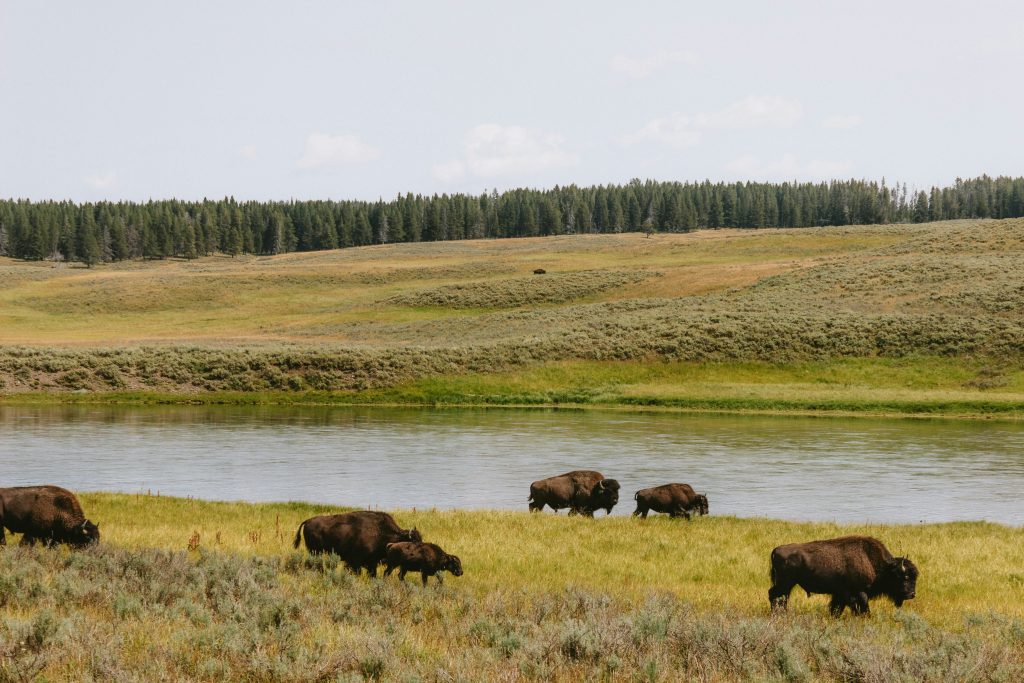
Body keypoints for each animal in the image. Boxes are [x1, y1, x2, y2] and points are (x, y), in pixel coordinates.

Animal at [770, 536, 921, 618]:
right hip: (785, 583)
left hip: (786, 585)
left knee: (779, 597)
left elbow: (836, 608)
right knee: (776, 596)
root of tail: (776, 550)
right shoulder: (858, 593)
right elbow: (862, 608)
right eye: (904, 576)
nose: (912, 594)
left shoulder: (840, 594)